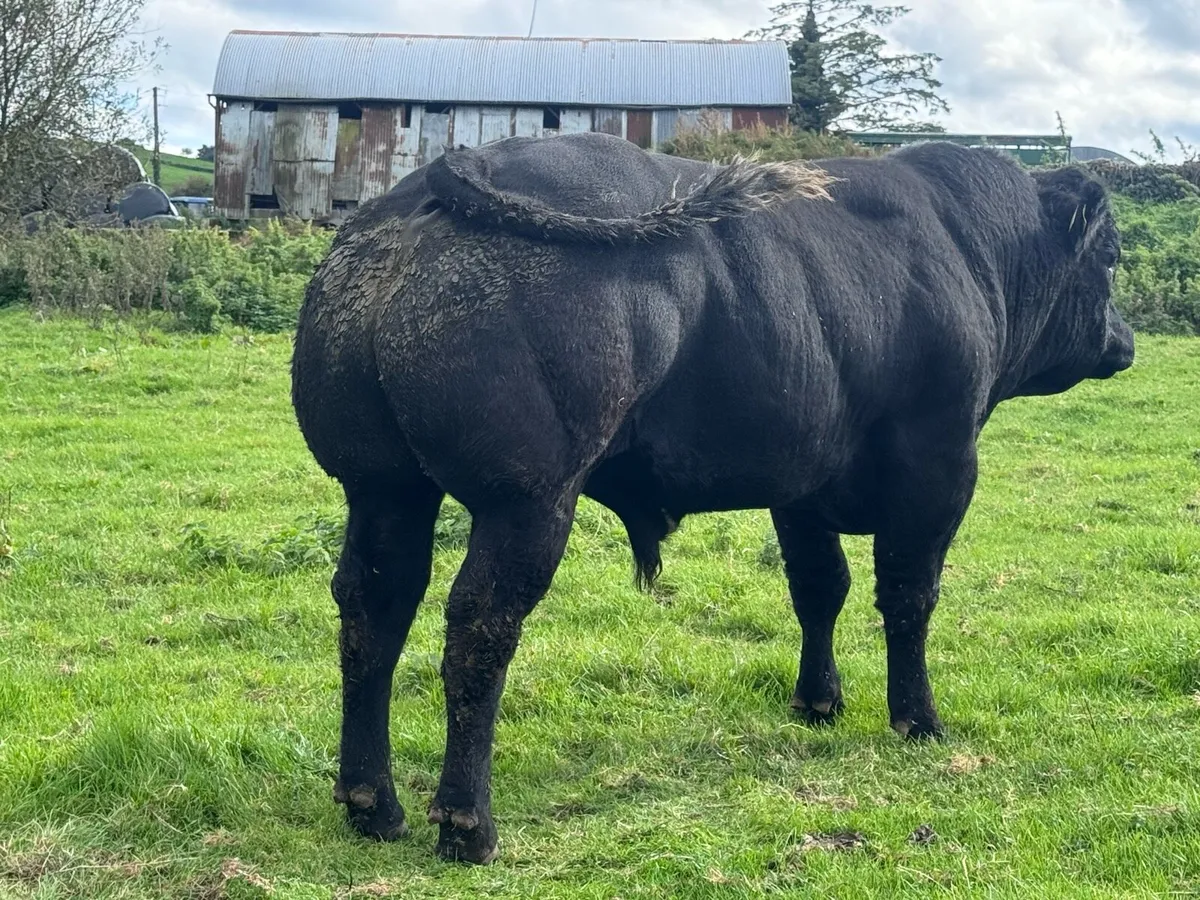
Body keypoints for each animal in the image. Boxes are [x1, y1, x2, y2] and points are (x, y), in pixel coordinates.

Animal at [290, 131, 1135, 865]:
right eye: (1113, 256)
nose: (1124, 340)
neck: (970, 248)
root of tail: (435, 180)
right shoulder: (940, 465)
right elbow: (908, 596)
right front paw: (918, 720)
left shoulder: (802, 482)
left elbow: (818, 589)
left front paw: (817, 702)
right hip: (524, 501)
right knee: (477, 629)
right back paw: (468, 824)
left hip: (384, 487)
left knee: (372, 613)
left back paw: (372, 803)